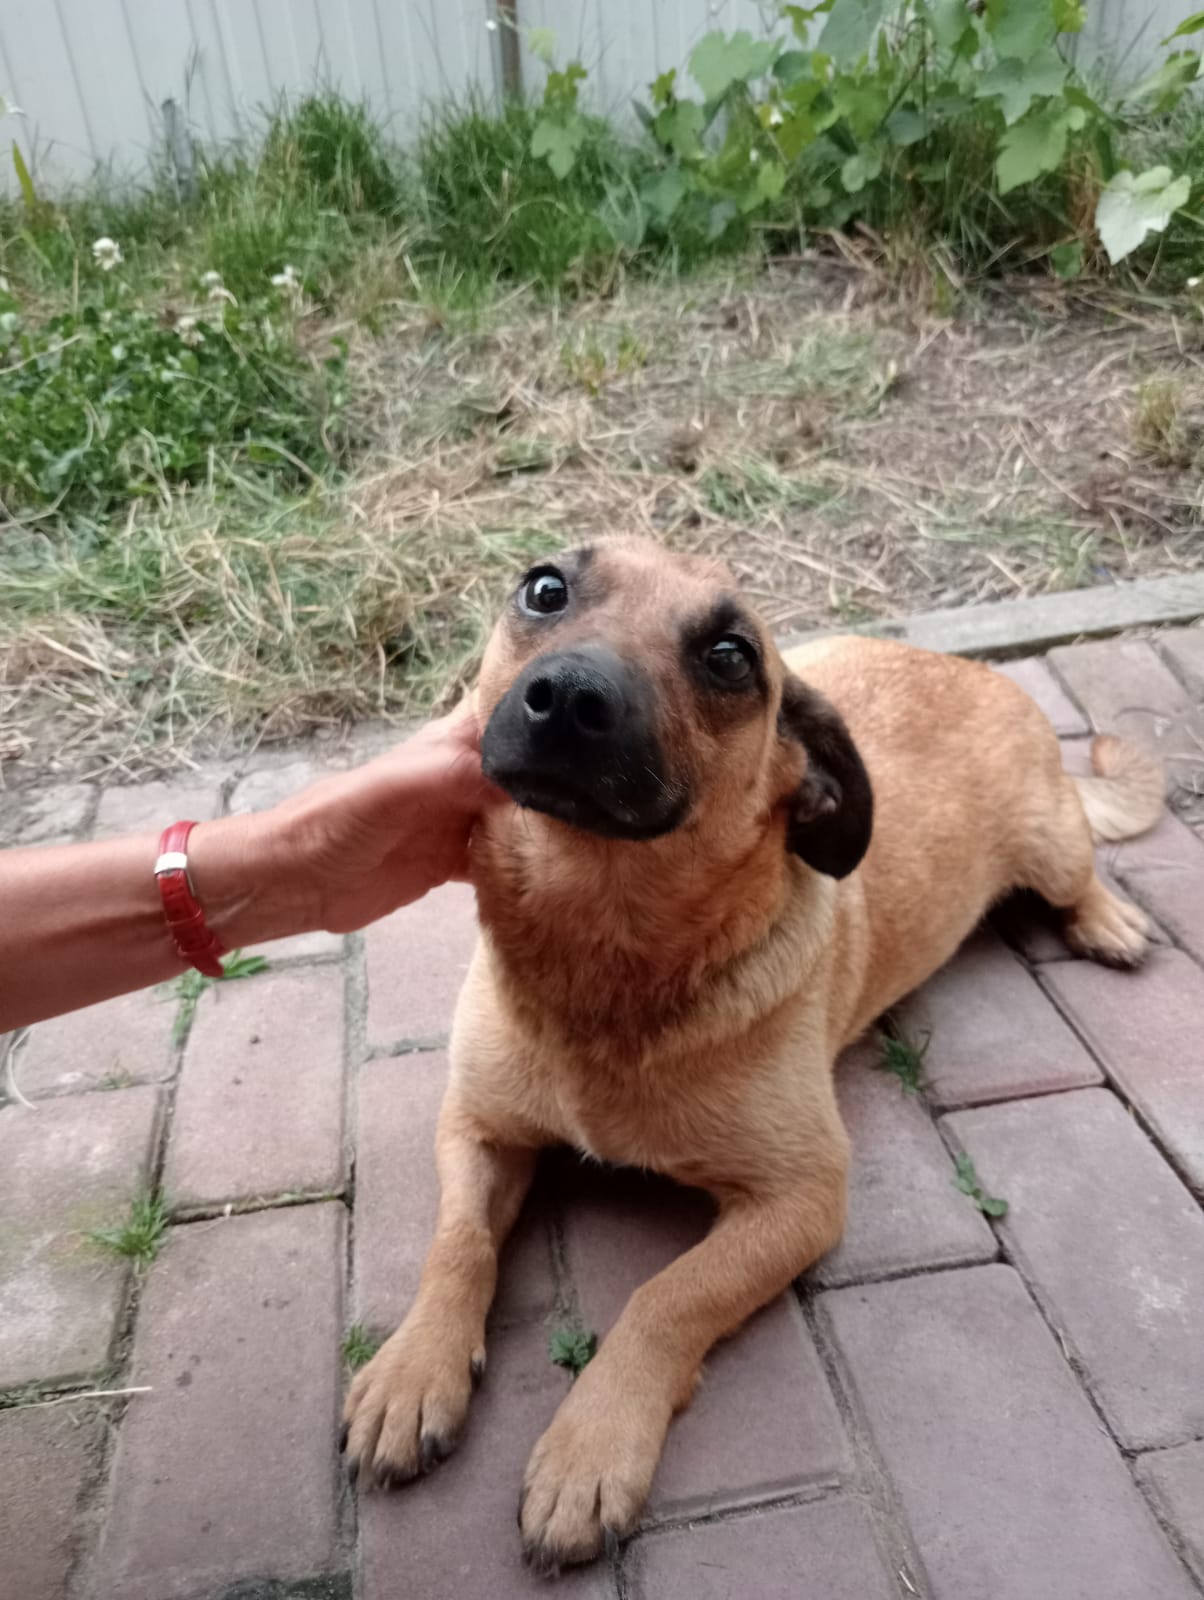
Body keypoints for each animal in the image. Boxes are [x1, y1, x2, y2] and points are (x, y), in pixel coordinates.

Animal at [341, 536, 1162, 1568]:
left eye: (730, 657)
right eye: (546, 589)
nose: (567, 697)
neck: (601, 952)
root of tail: (968, 669)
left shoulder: (801, 1198)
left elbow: (666, 1298)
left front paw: (590, 1445)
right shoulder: (476, 1129)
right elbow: (457, 1244)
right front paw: (414, 1370)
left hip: (1050, 845)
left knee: (1082, 869)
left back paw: (1107, 919)